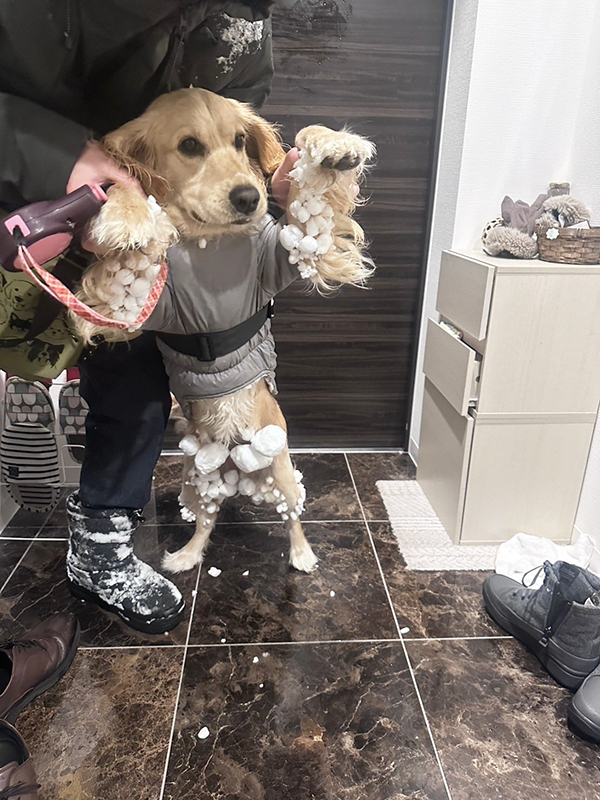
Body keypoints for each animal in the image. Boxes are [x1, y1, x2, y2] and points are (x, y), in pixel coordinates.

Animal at [72, 87, 372, 576]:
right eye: (189, 145)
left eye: (239, 140)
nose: (249, 197)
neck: (209, 241)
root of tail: (238, 473)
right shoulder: (133, 302)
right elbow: (124, 188)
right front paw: (127, 215)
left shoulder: (296, 250)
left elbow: (313, 198)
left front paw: (333, 145)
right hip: (197, 480)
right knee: (205, 524)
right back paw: (184, 557)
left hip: (282, 472)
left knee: (292, 519)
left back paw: (302, 555)